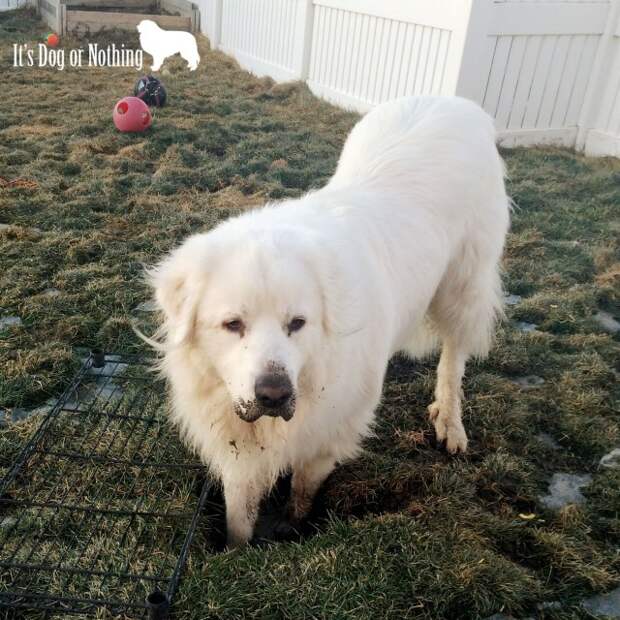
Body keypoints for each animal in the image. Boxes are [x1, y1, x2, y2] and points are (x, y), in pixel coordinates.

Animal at [145, 94, 508, 544]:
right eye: (233, 324)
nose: (274, 395)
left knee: (454, 359)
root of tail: (454, 101)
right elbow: (238, 512)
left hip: (463, 287)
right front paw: (235, 548)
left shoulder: (329, 433)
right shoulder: (238, 449)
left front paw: (292, 527)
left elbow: (303, 489)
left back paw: (451, 424)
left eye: (298, 323)